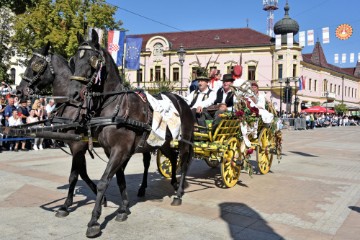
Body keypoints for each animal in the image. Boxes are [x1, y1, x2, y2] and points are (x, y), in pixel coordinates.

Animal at [70, 29, 194, 236]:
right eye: (73, 60)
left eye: (92, 60)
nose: (73, 94)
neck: (115, 106)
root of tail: (182, 101)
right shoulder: (113, 151)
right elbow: (120, 179)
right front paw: (124, 208)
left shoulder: (120, 150)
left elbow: (104, 181)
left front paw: (94, 221)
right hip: (164, 143)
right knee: (173, 158)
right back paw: (174, 184)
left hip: (184, 141)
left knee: (183, 164)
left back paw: (177, 194)